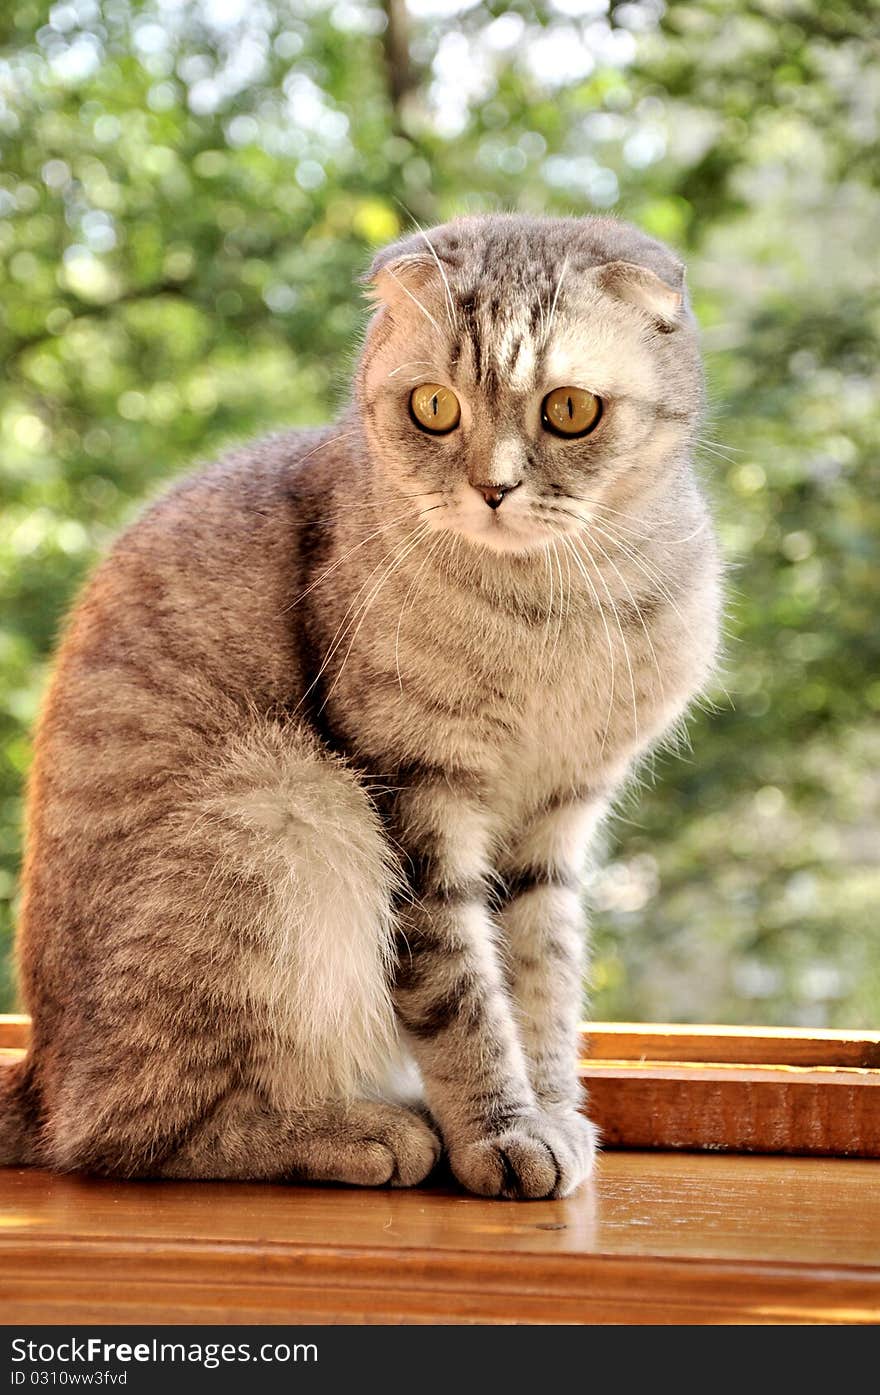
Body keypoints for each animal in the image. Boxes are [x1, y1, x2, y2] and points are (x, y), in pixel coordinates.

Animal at [0, 214, 725, 1199]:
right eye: (434, 408)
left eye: (570, 410)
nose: (492, 489)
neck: (553, 611)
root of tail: (40, 1075)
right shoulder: (415, 794)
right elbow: (461, 994)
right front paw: (500, 1133)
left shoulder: (555, 817)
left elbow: (541, 981)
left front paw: (547, 1109)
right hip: (286, 807)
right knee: (128, 1132)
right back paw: (357, 1131)